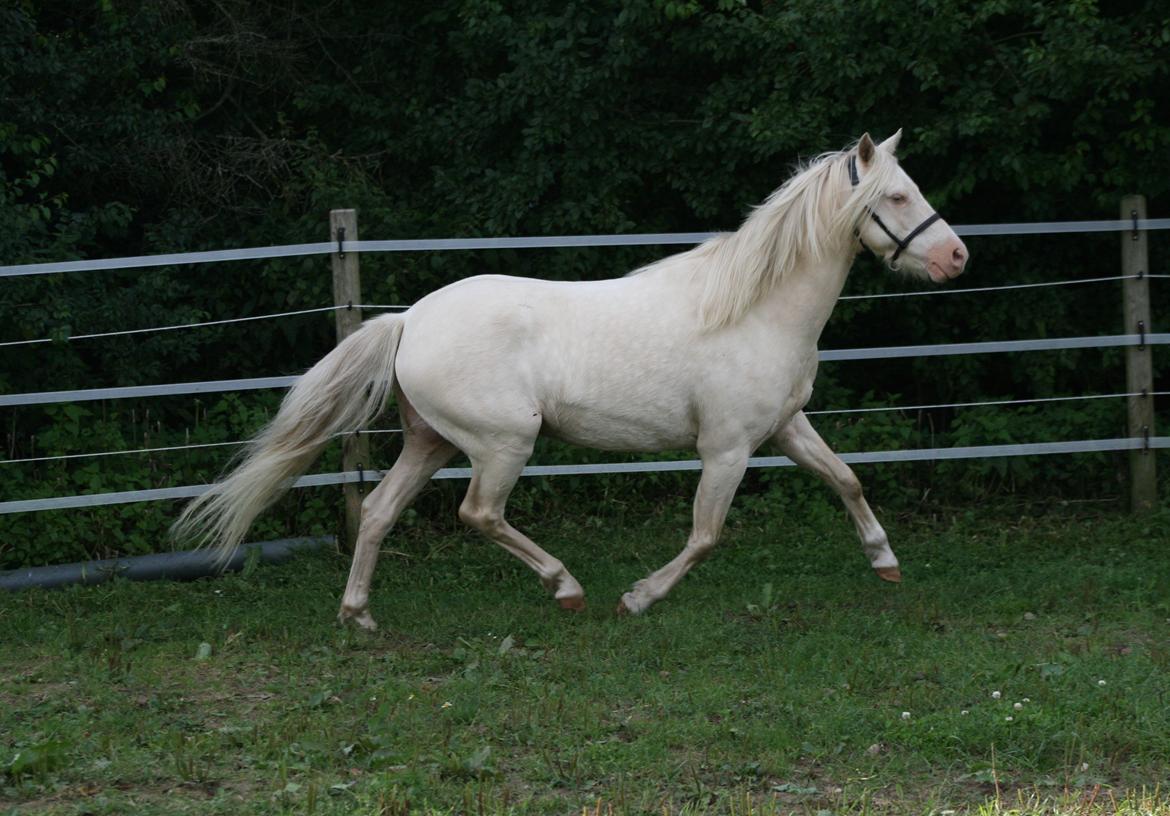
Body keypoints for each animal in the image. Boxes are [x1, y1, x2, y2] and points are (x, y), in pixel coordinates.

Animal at [173, 130, 968, 630]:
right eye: (897, 197)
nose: (956, 257)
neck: (753, 310)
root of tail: (411, 319)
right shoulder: (728, 448)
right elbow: (706, 534)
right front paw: (638, 600)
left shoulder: (783, 428)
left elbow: (847, 480)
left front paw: (886, 562)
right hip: (502, 443)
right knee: (478, 514)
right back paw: (568, 588)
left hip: (430, 442)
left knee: (376, 513)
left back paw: (358, 614)